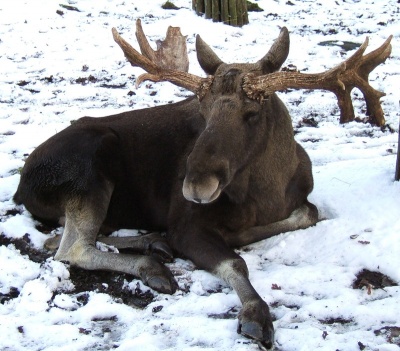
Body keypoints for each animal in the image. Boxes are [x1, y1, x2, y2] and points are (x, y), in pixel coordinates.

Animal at [13, 20, 390, 350]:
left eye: (252, 112)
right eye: (203, 110)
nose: (195, 184)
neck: (269, 193)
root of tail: (20, 186)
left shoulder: (299, 200)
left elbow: (308, 212)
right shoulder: (186, 223)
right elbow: (235, 263)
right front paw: (255, 314)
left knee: (60, 238)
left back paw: (153, 243)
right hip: (91, 168)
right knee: (72, 248)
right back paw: (152, 263)